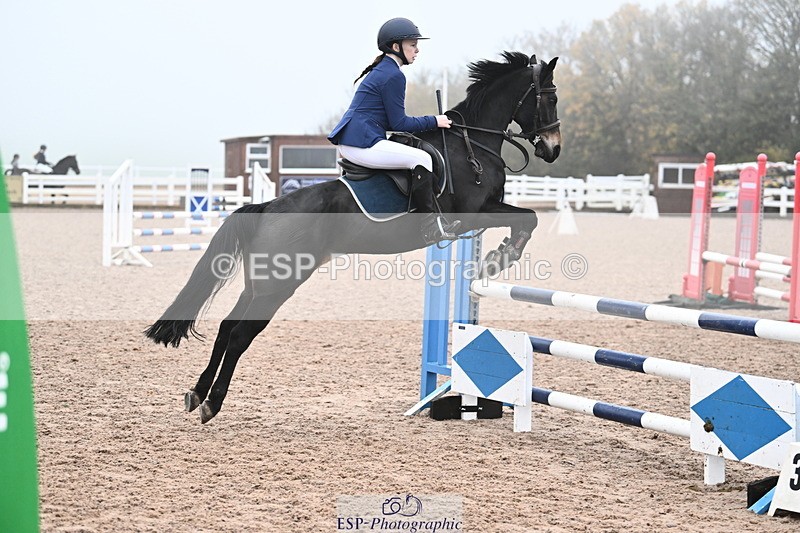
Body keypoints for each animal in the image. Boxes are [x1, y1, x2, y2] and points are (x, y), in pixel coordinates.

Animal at [145, 51, 561, 424]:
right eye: (551, 97)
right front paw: (500, 257)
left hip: (259, 284)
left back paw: (197, 393)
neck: (472, 144)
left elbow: (526, 219)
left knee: (226, 328)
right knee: (239, 335)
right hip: (279, 284)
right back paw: (212, 403)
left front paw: (496, 257)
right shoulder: (475, 212)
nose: (553, 148)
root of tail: (268, 207)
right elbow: (528, 219)